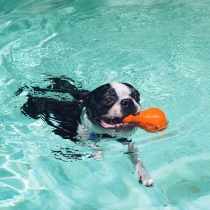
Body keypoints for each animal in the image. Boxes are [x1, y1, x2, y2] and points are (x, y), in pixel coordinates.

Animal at [15, 76, 153, 186]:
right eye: (108, 100)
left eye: (136, 96)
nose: (128, 101)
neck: (103, 133)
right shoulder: (80, 139)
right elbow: (96, 150)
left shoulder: (123, 137)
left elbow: (133, 152)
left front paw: (144, 174)